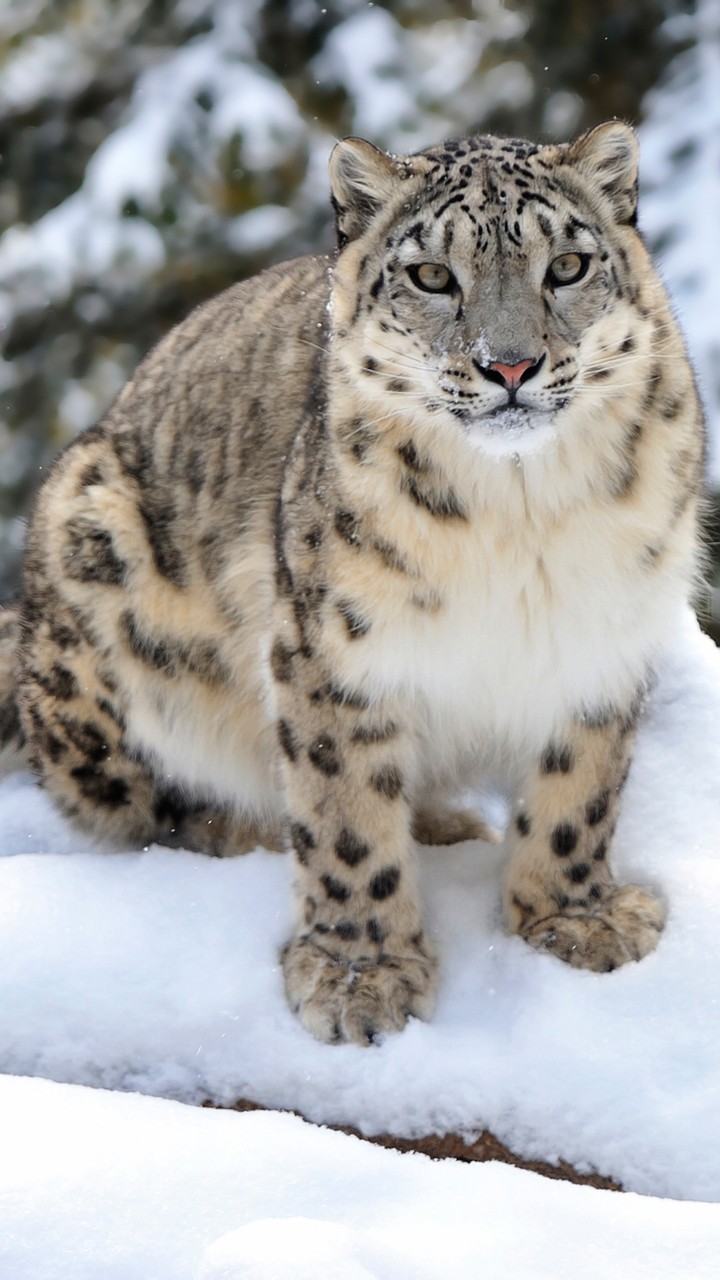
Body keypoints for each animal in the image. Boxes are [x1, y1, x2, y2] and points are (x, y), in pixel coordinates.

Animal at [0, 121, 705, 1045]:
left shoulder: (603, 631)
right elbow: (344, 817)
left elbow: (581, 788)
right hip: (96, 567)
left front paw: (573, 918)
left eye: (568, 266)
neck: (520, 517)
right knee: (156, 808)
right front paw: (359, 976)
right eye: (432, 275)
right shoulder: (334, 651)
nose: (510, 366)